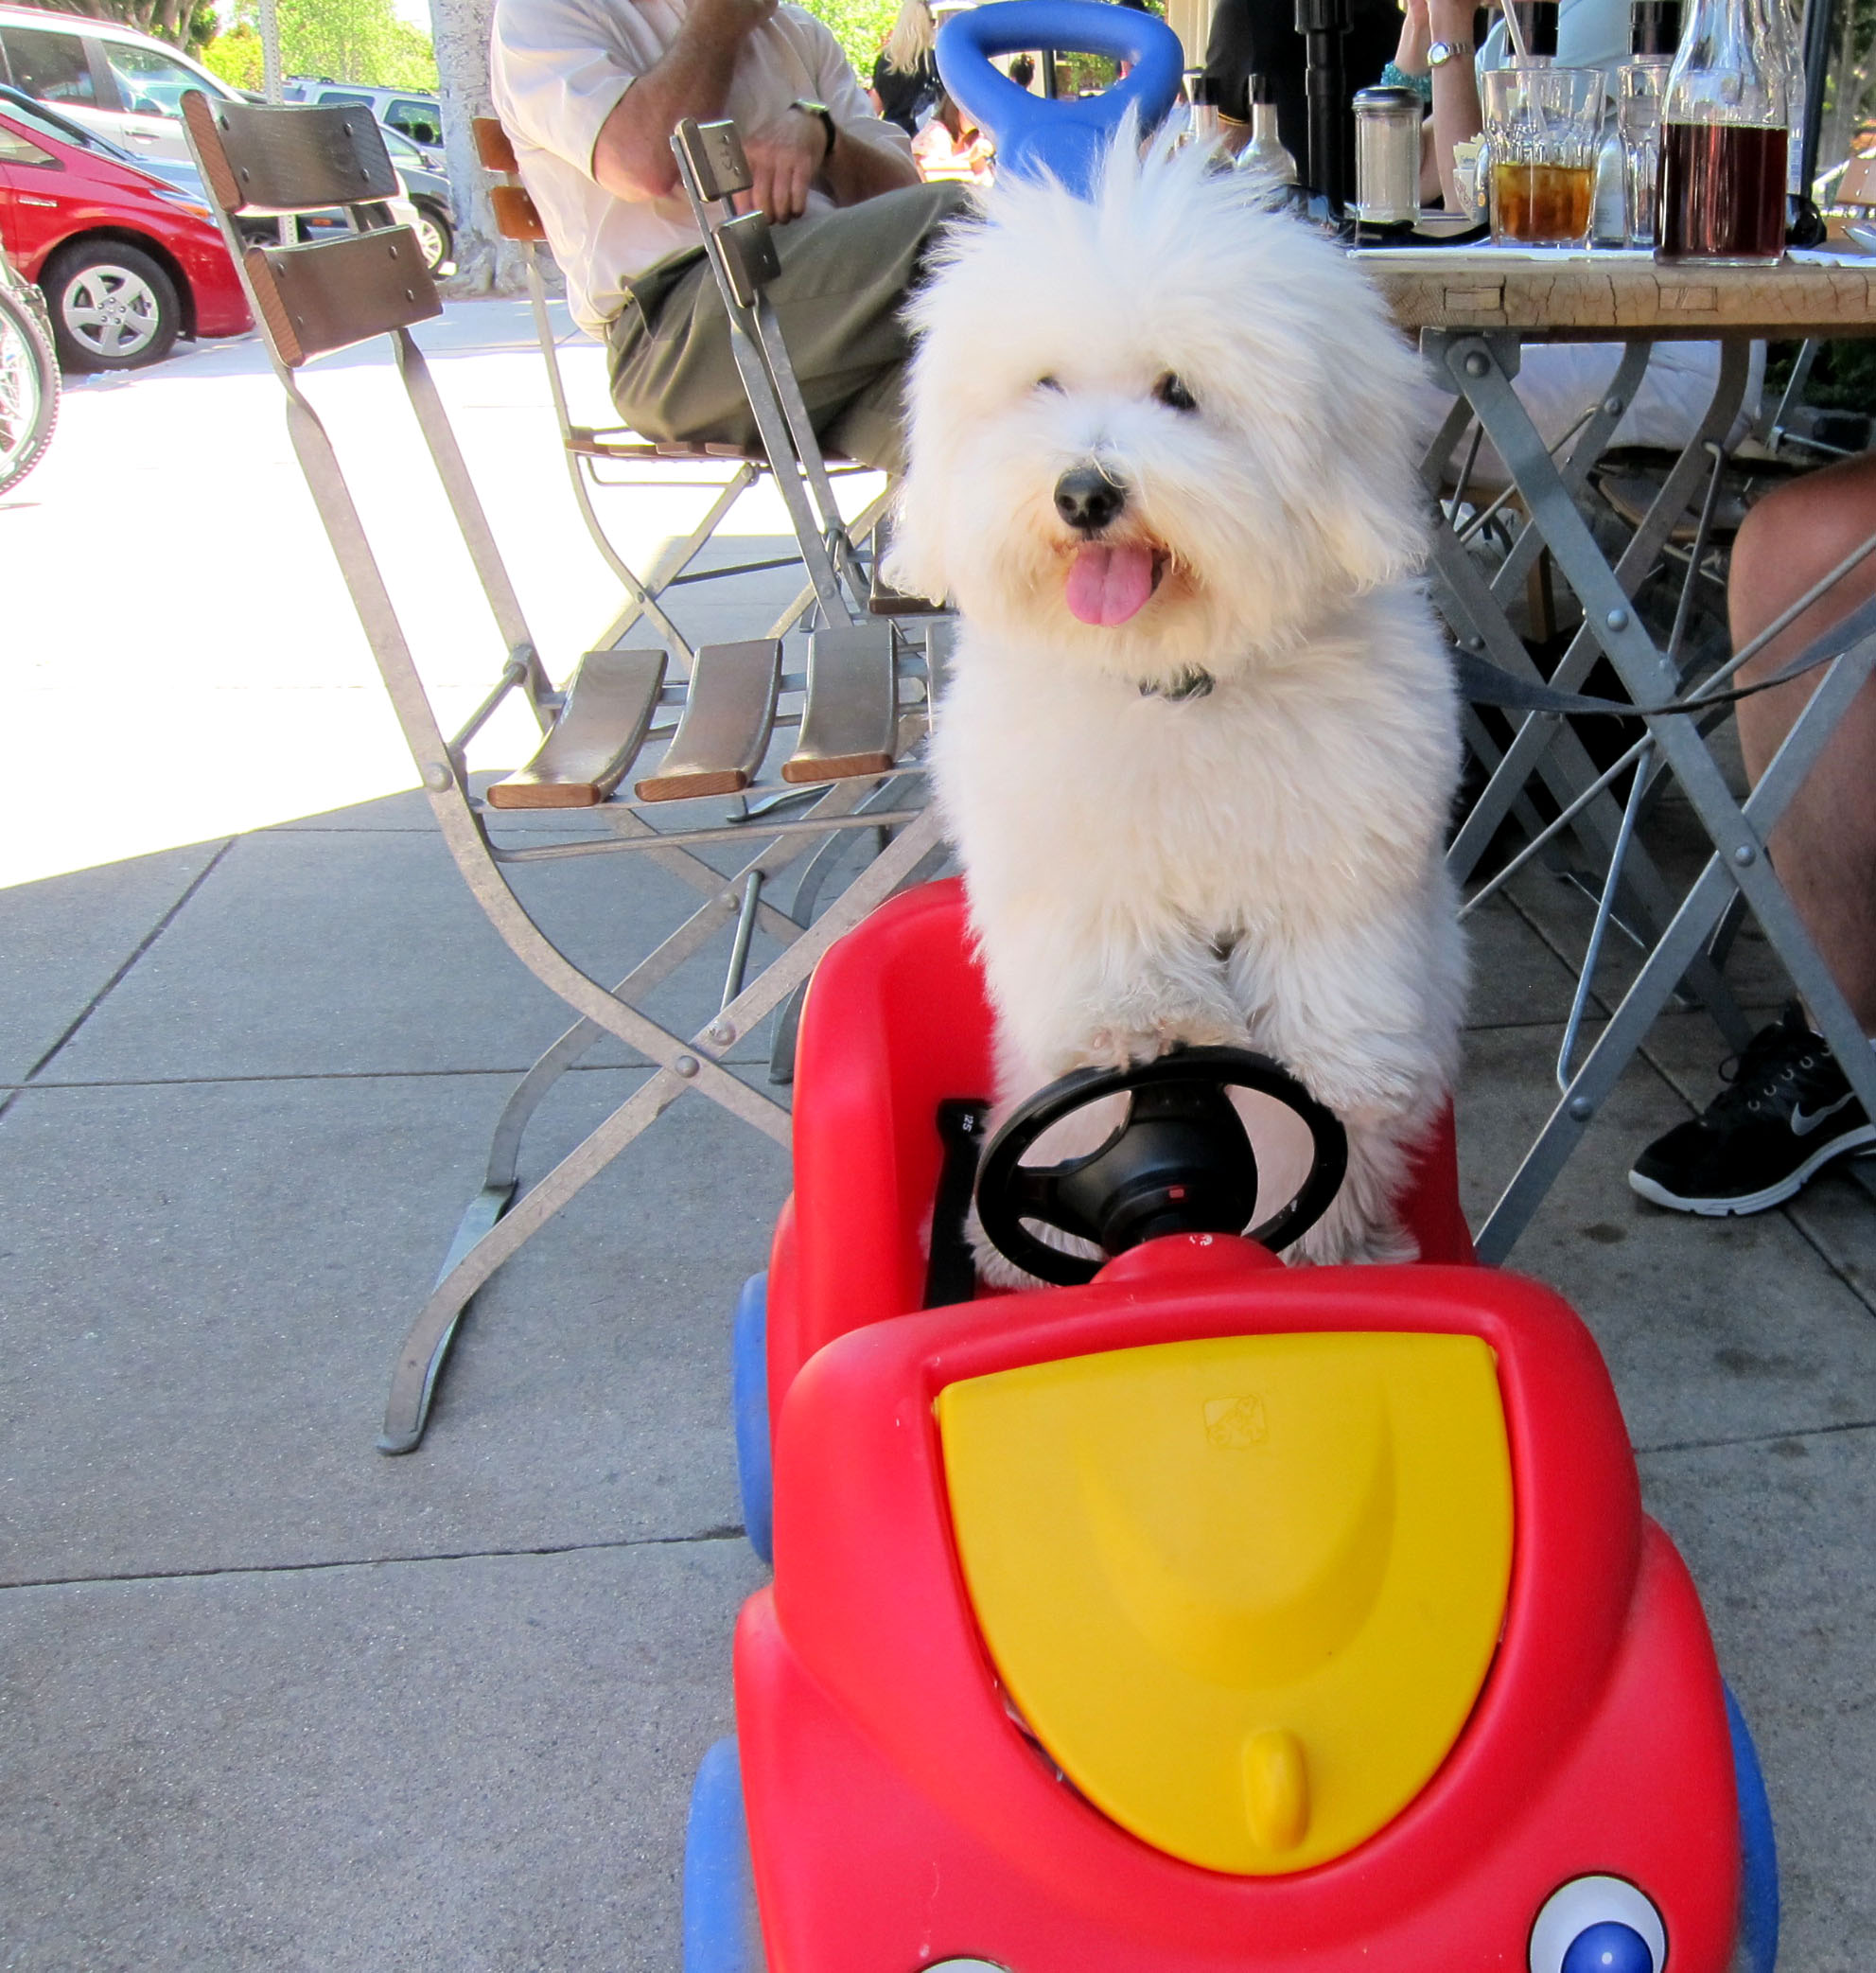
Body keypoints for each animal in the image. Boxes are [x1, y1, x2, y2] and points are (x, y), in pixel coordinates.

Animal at [887, 134, 1475, 1262]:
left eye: (1179, 392)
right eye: (1044, 384)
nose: (1084, 492)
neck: (1175, 685)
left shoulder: (1346, 849)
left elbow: (1337, 961)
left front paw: (1340, 1064)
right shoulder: (1078, 869)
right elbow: (1115, 954)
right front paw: (1148, 1026)